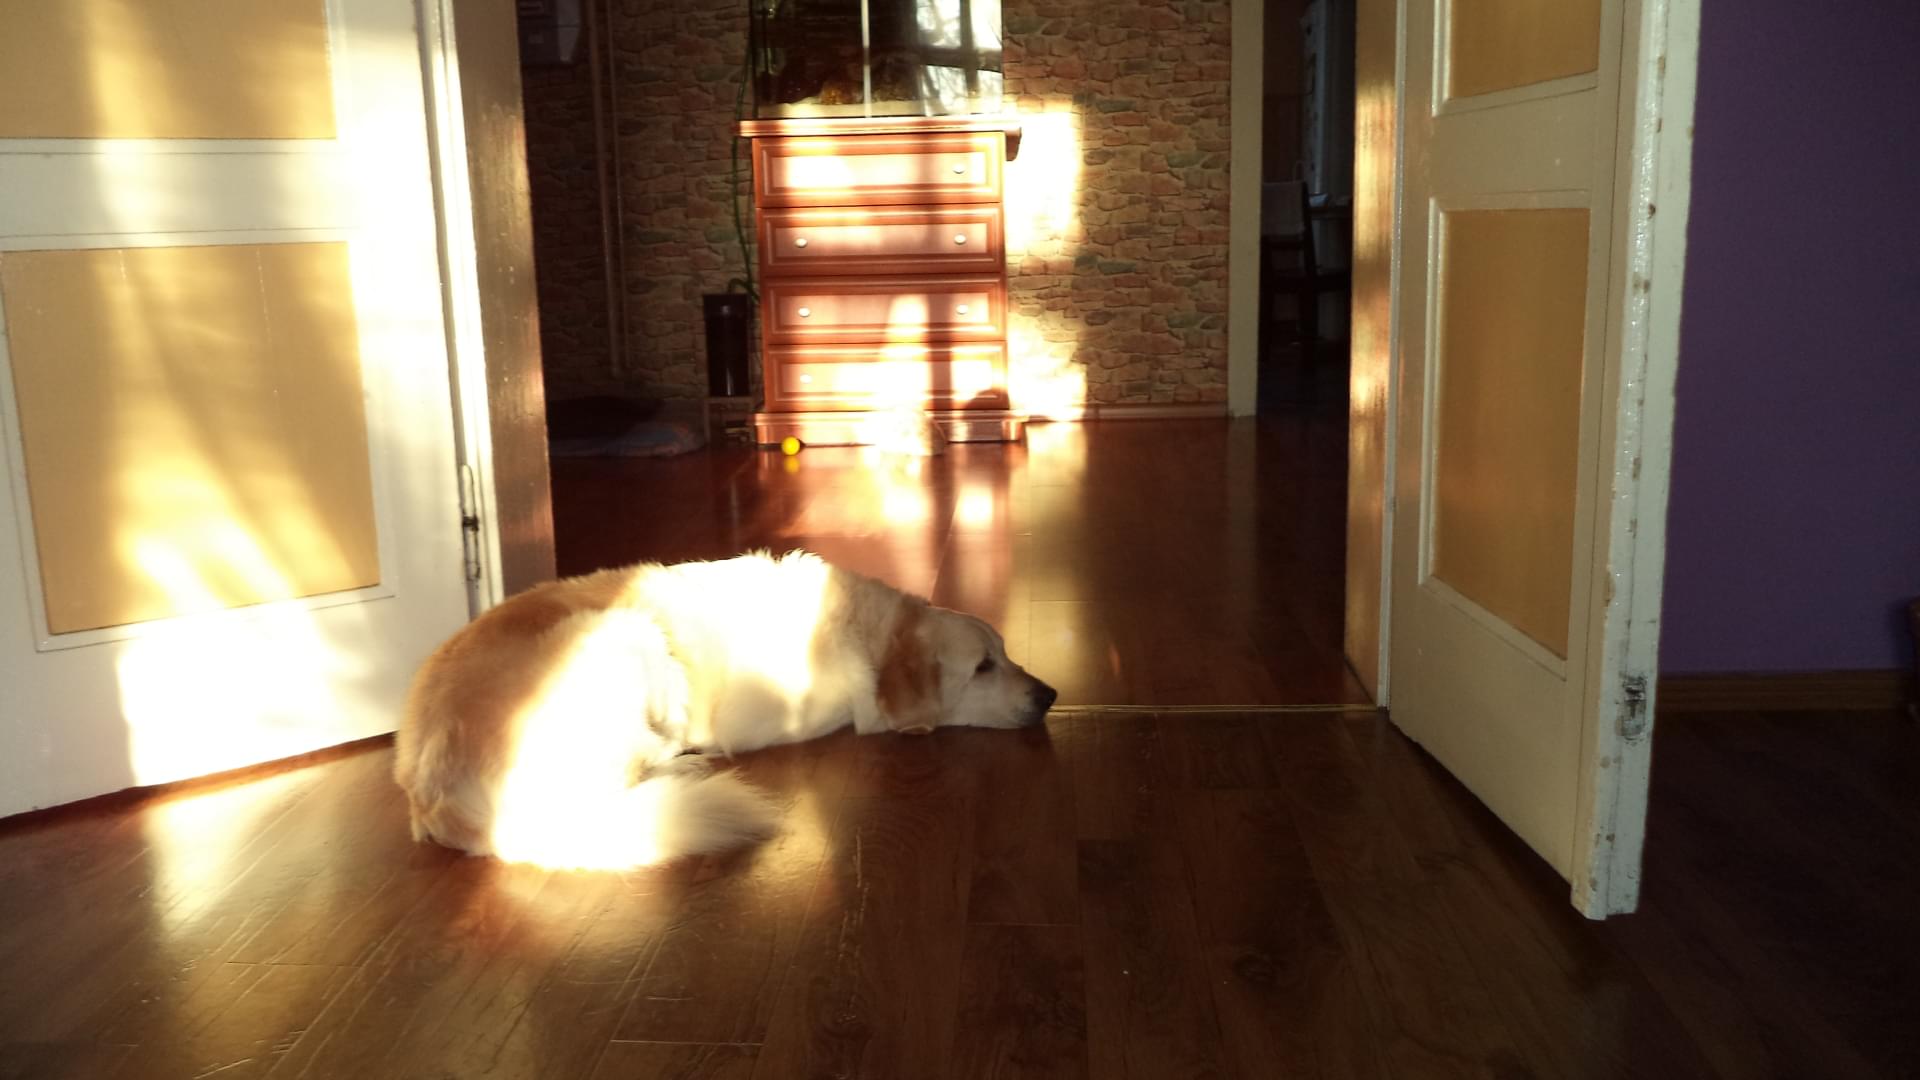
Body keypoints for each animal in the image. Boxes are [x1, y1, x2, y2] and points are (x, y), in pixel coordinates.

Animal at [393, 551, 1056, 870]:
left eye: (1005, 653)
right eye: (983, 667)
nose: (1049, 695)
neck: (867, 634)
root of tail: (431, 797)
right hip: (629, 636)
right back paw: (689, 764)